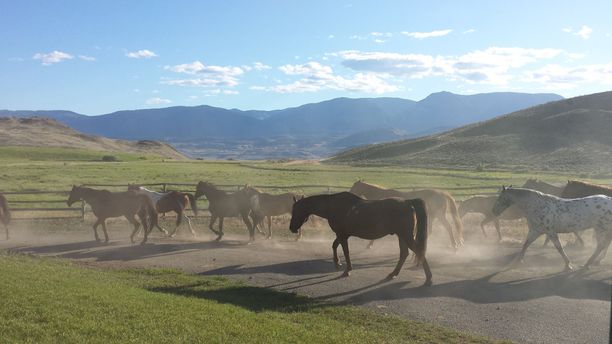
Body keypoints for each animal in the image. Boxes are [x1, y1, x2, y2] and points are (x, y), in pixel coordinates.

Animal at [290, 192, 432, 286]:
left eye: (295, 211)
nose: (292, 228)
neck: (333, 206)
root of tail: (408, 202)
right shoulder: (342, 234)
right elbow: (334, 246)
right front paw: (337, 263)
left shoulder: (342, 235)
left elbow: (345, 251)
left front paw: (347, 270)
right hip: (401, 236)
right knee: (404, 254)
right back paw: (393, 274)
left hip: (406, 235)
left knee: (418, 251)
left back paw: (428, 278)